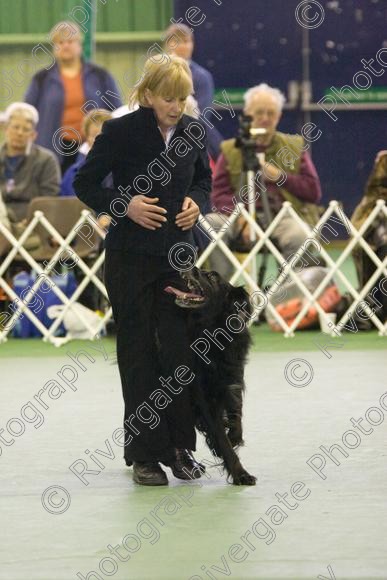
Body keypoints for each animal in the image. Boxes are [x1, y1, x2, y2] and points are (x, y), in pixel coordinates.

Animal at [164, 268, 258, 484]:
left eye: (214, 277)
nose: (190, 266)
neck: (212, 333)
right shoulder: (204, 400)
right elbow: (222, 440)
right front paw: (240, 474)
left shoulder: (233, 379)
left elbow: (236, 411)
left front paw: (234, 435)